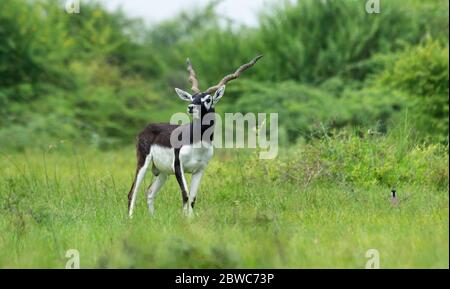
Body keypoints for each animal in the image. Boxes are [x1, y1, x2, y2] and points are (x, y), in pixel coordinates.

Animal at [126, 54, 264, 216]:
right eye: (192, 97)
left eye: (208, 99)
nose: (191, 107)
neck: (198, 143)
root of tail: (147, 127)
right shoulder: (178, 166)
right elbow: (185, 194)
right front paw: (184, 219)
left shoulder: (199, 170)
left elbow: (192, 198)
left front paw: (190, 219)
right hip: (144, 161)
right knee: (132, 192)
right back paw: (130, 218)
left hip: (163, 172)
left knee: (149, 191)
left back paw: (152, 217)